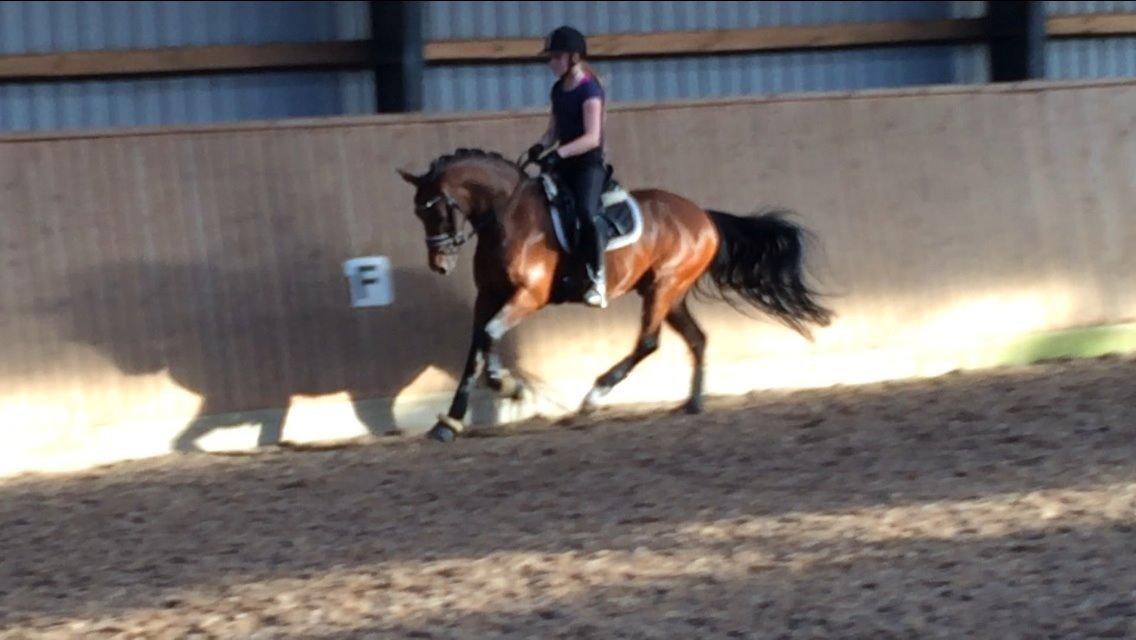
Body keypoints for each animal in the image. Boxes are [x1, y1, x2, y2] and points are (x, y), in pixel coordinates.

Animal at [397, 148, 834, 442]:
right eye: (418, 212)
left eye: (437, 208)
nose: (439, 264)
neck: (508, 216)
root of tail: (705, 217)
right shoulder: (488, 296)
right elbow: (478, 345)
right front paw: (452, 420)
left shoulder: (528, 295)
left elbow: (488, 336)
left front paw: (506, 386)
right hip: (669, 292)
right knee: (697, 338)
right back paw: (694, 403)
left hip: (662, 288)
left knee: (648, 342)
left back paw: (593, 397)